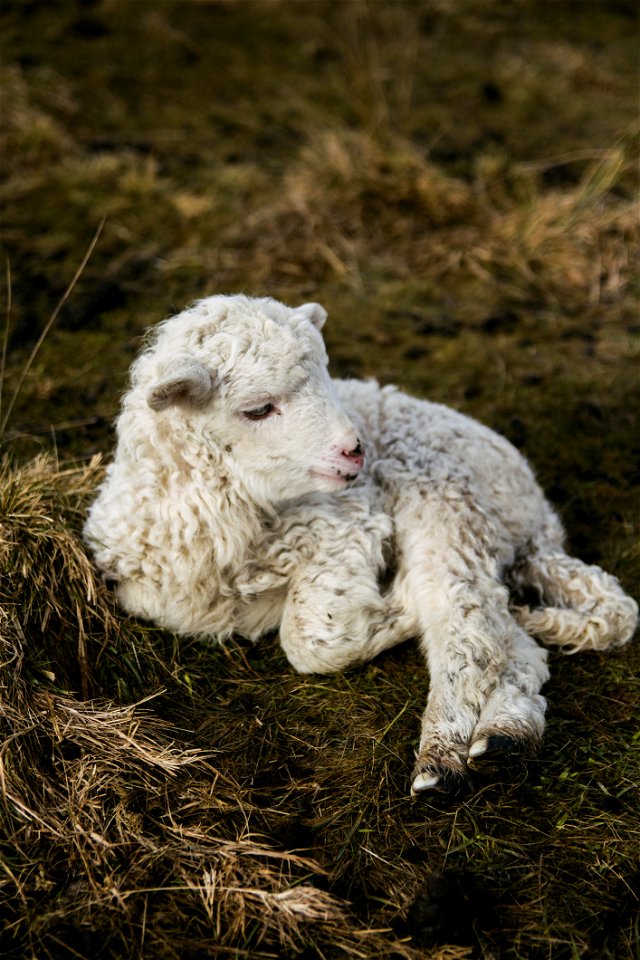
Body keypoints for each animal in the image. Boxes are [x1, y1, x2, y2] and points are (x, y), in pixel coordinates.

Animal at [84, 296, 636, 800]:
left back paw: (442, 760)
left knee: (466, 622)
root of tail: (538, 521)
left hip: (446, 495)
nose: (355, 451)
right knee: (512, 640)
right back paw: (505, 737)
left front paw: (398, 602)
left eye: (328, 379)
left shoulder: (346, 524)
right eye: (258, 409)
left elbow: (310, 641)